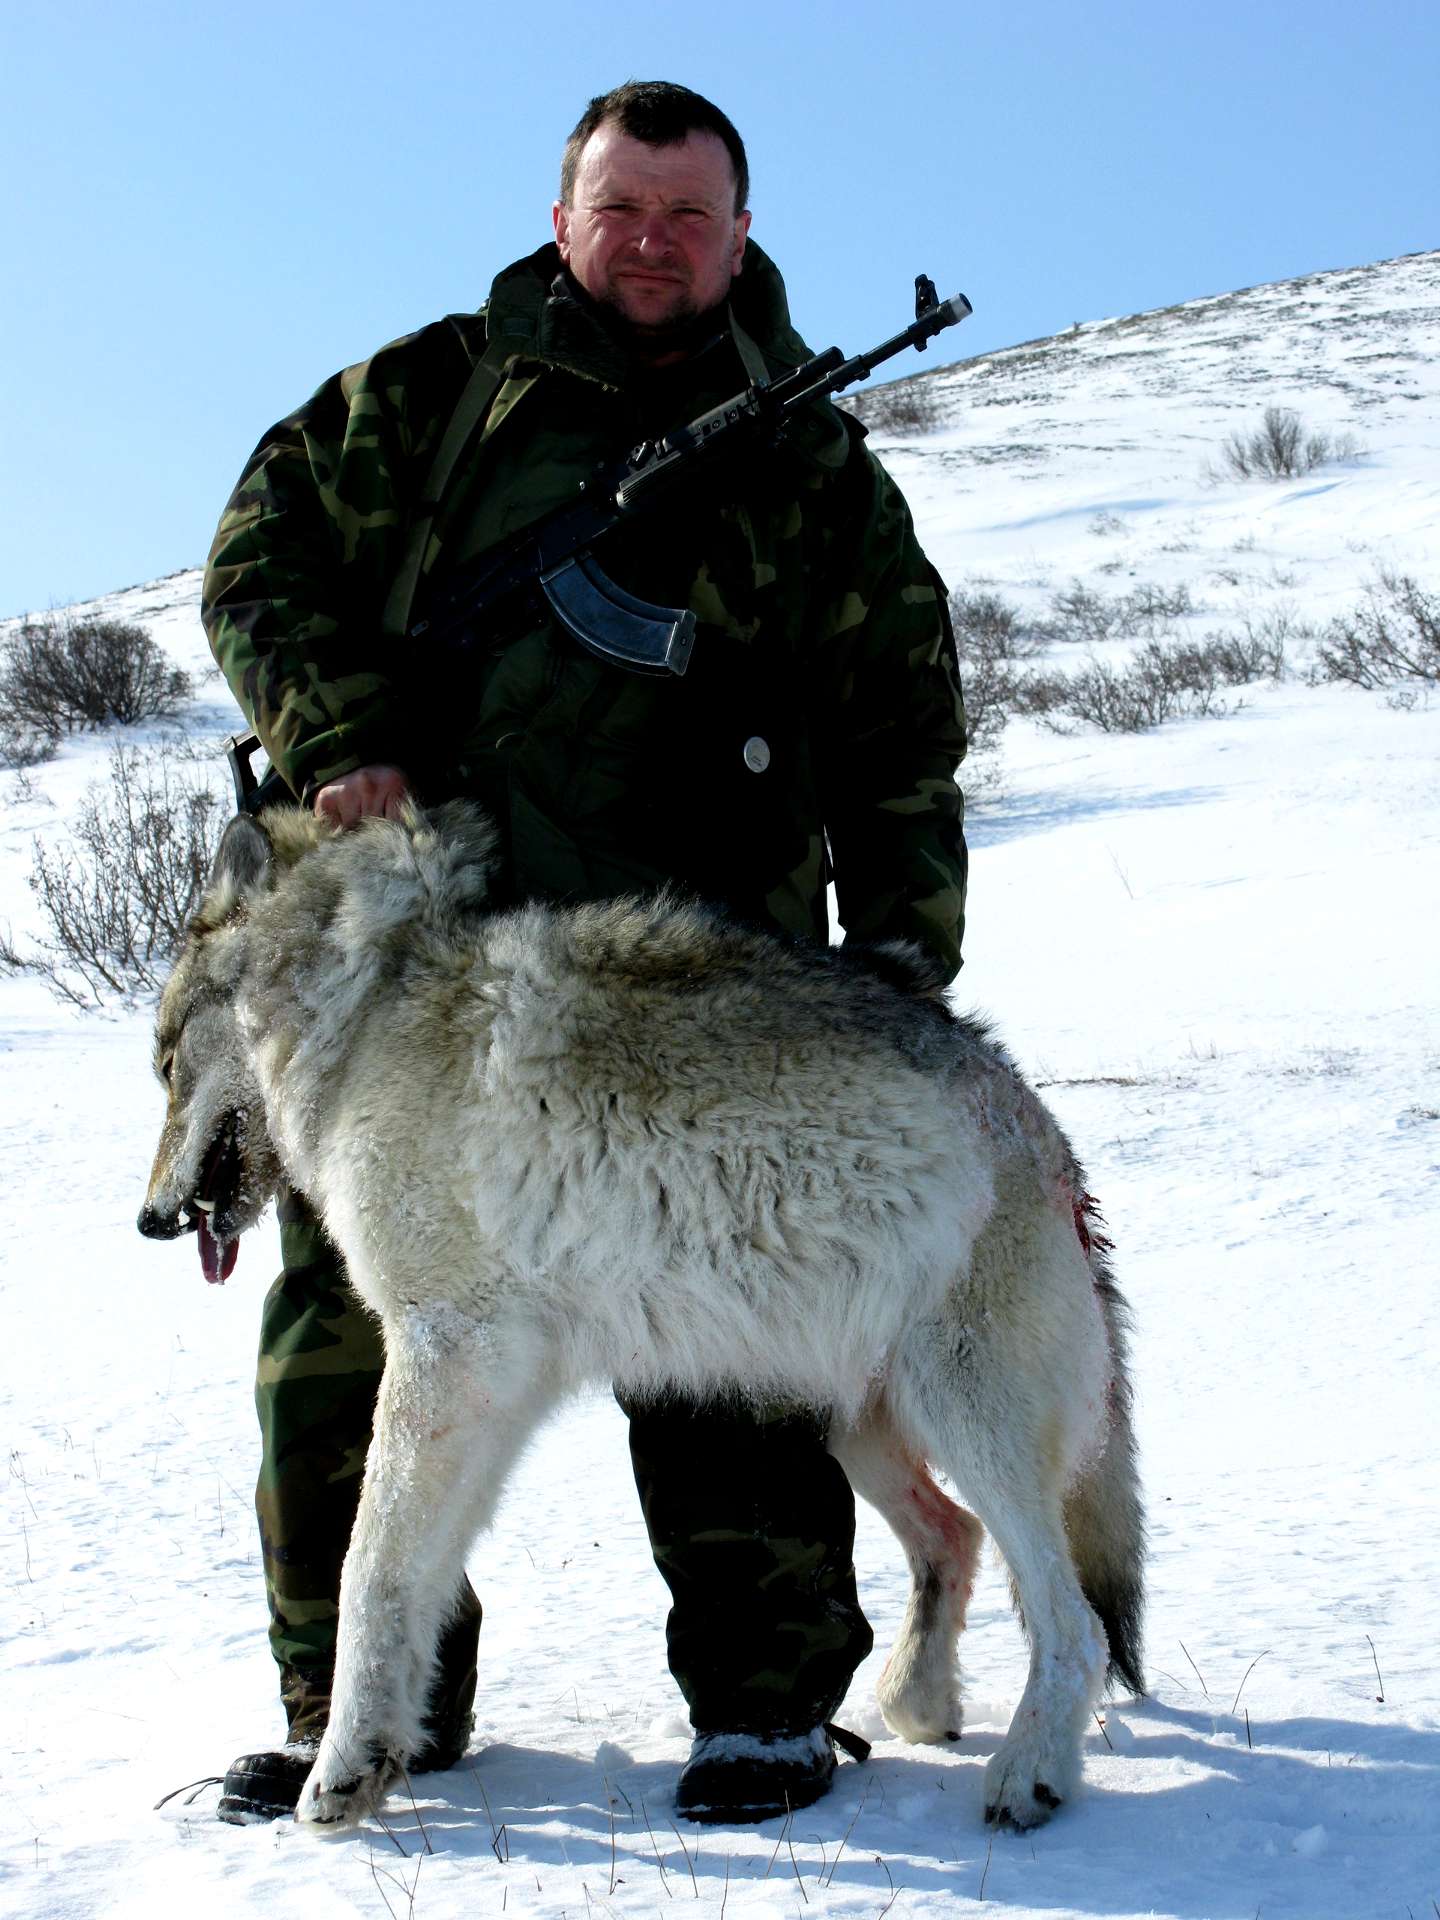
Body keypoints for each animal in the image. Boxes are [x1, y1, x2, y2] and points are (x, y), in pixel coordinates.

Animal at [138, 802, 1152, 1835]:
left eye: (165, 1064)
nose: (150, 1218)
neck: (365, 1002)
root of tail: (1051, 1146)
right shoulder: (484, 1387)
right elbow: (420, 1581)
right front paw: (385, 1756)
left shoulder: (447, 1352)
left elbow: (367, 1571)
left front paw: (339, 1773)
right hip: (852, 1424)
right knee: (955, 1538)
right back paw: (921, 1700)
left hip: (967, 1421)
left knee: (1072, 1623)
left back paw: (1028, 1774)